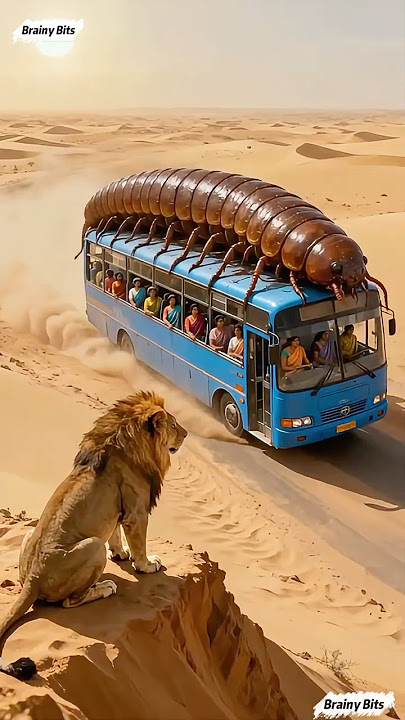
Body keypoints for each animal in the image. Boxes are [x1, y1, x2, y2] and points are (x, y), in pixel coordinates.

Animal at [0, 391, 187, 680]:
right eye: (175, 425)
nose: (187, 434)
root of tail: (33, 579)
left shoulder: (116, 513)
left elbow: (116, 534)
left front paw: (120, 553)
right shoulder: (136, 512)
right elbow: (140, 546)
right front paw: (147, 565)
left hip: (30, 534)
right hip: (93, 547)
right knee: (69, 602)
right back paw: (105, 587)